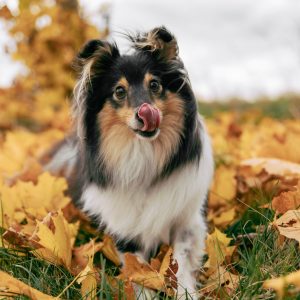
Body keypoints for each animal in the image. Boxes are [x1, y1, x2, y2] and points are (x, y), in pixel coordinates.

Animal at [46, 27, 213, 298]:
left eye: (154, 84)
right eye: (119, 91)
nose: (145, 114)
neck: (143, 155)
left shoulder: (189, 220)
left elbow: (179, 260)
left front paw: (185, 292)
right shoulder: (125, 228)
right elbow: (138, 269)